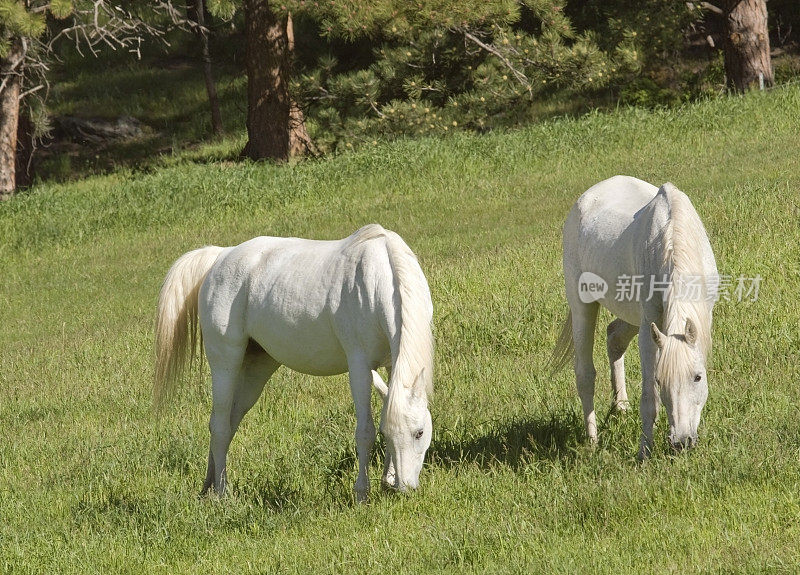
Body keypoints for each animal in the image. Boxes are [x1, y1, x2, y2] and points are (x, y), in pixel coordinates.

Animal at [154, 223, 434, 502]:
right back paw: (222, 493)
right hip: (225, 362)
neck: (379, 278)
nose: (405, 488)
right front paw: (362, 494)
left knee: (229, 422)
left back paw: (209, 485)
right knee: (220, 425)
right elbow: (365, 432)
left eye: (420, 432)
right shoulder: (359, 366)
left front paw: (387, 480)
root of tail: (220, 257)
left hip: (257, 368)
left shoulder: (391, 363)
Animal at [552, 176, 720, 460]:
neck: (673, 239)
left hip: (631, 316)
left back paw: (621, 407)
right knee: (585, 374)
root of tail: (584, 199)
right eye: (660, 380)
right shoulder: (648, 329)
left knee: (614, 337)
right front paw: (645, 452)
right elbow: (649, 398)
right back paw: (593, 441)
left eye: (697, 377)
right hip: (583, 305)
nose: (681, 442)